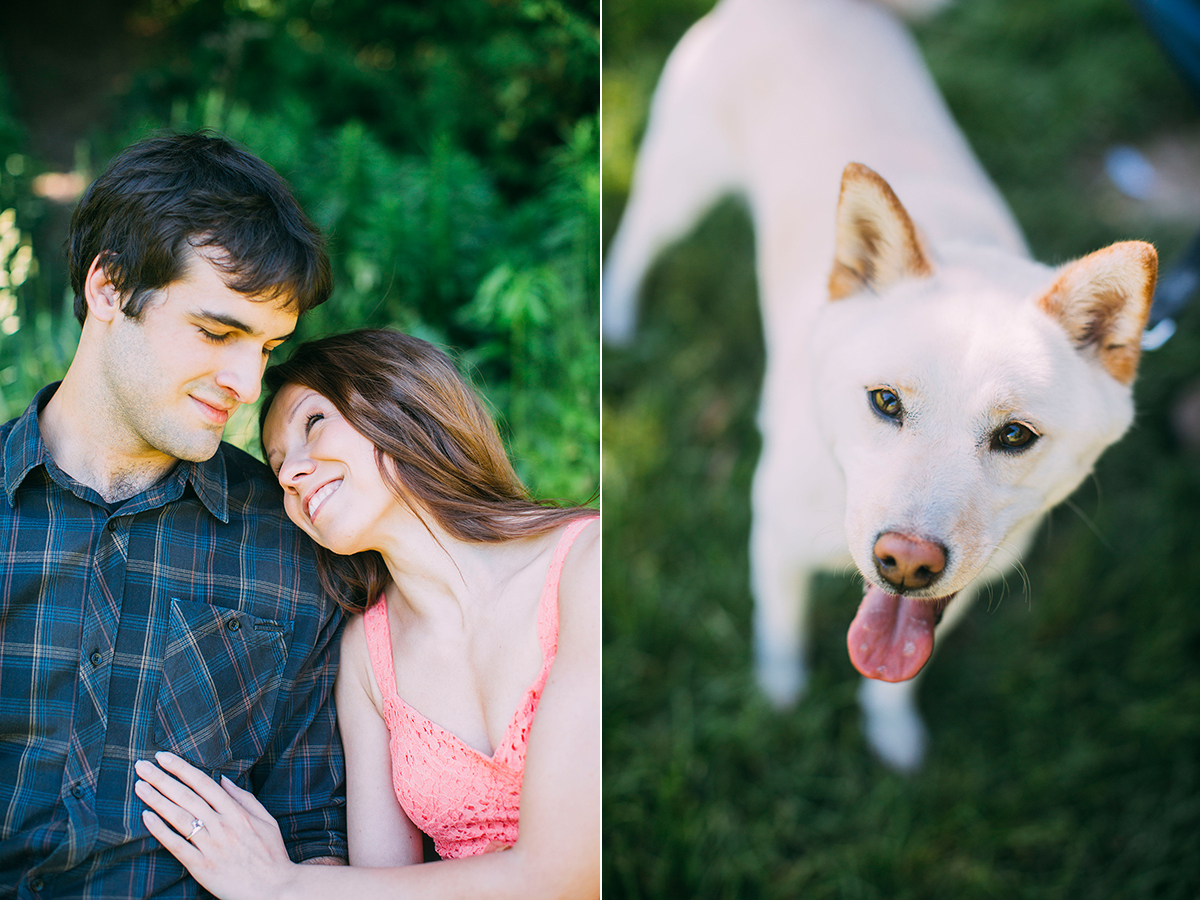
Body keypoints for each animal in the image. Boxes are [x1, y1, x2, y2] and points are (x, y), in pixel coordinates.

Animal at [604, 0, 1156, 772]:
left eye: (1015, 435)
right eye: (885, 403)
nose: (907, 562)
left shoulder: (958, 591)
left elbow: (898, 678)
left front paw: (891, 734)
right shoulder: (773, 541)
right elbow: (780, 632)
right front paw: (779, 698)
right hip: (679, 181)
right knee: (635, 241)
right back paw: (616, 317)